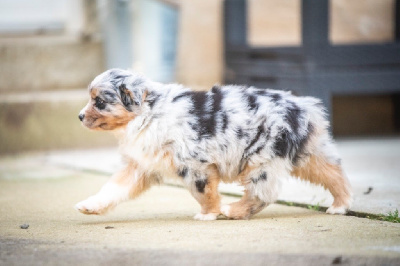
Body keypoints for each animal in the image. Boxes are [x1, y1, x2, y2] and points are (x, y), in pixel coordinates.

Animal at [76, 68, 354, 220]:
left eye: (99, 102)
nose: (79, 116)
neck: (149, 113)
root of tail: (303, 106)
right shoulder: (140, 166)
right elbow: (112, 189)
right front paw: (90, 205)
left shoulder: (196, 166)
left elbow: (202, 192)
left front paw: (208, 213)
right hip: (308, 155)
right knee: (334, 173)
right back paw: (340, 205)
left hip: (261, 159)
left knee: (263, 193)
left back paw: (233, 211)